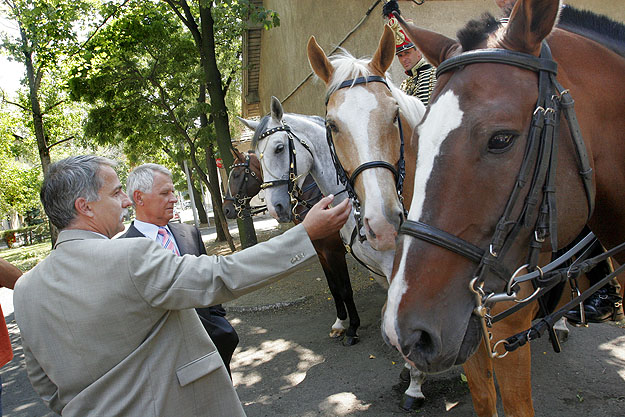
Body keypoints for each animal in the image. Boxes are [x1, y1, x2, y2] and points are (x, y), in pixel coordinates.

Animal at [223, 145, 360, 344]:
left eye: (236, 175)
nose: (226, 209)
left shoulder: (334, 253)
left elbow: (345, 290)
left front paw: (353, 328)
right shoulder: (321, 253)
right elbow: (334, 288)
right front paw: (340, 323)